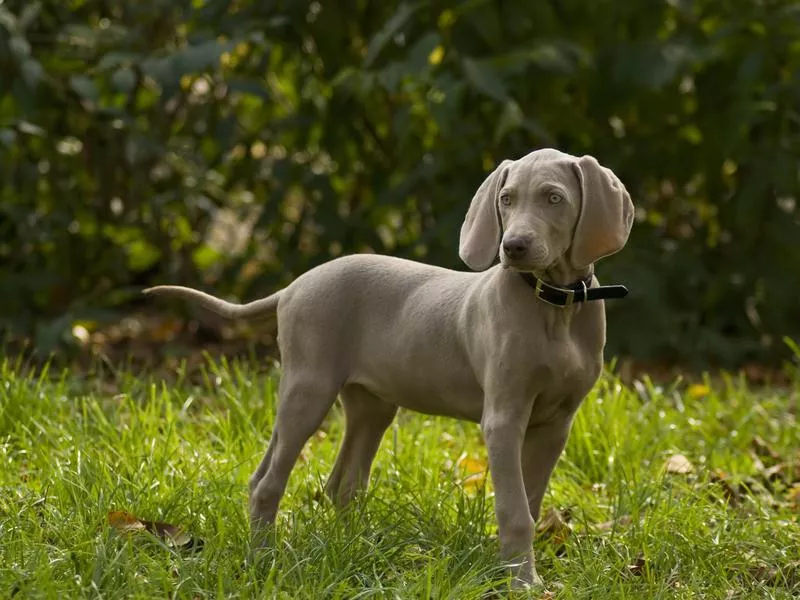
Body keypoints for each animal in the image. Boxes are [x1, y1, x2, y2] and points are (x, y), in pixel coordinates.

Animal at [144, 149, 632, 584]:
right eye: (506, 199)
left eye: (554, 198)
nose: (512, 247)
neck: (555, 305)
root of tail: (295, 285)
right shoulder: (504, 419)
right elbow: (515, 512)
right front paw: (523, 583)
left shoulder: (557, 424)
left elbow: (530, 502)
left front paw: (520, 572)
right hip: (309, 387)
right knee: (269, 482)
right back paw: (264, 559)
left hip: (371, 405)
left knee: (339, 484)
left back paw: (353, 549)